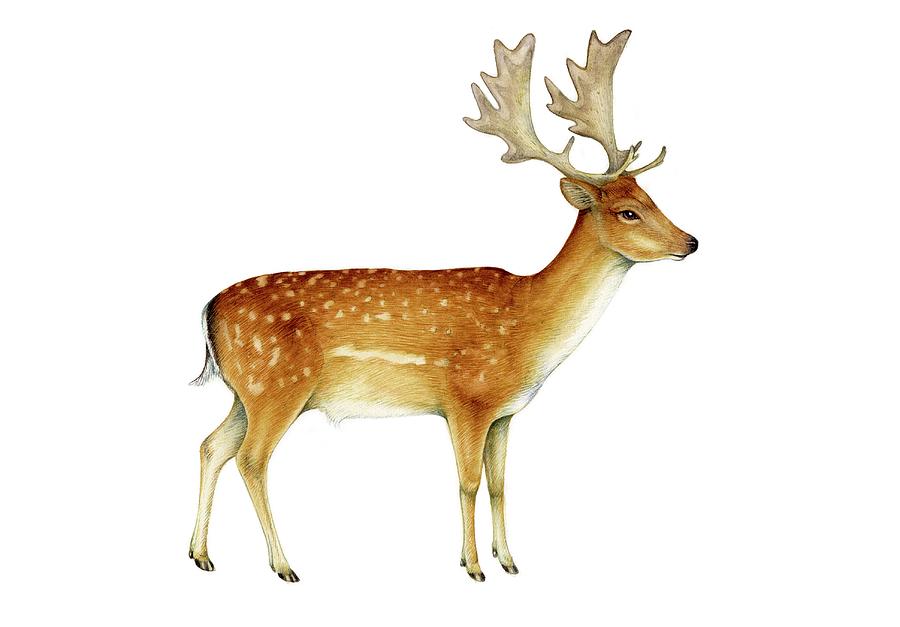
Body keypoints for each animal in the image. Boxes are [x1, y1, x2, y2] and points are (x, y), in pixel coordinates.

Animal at [188, 29, 697, 584]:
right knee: (251, 459)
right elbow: (467, 482)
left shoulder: (504, 413)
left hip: (247, 391)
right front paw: (473, 566)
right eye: (627, 212)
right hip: (278, 386)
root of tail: (207, 310)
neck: (529, 327)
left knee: (212, 446)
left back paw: (201, 554)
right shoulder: (467, 397)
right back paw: (283, 565)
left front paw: (509, 560)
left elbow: (499, 484)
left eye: (652, 197)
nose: (691, 242)